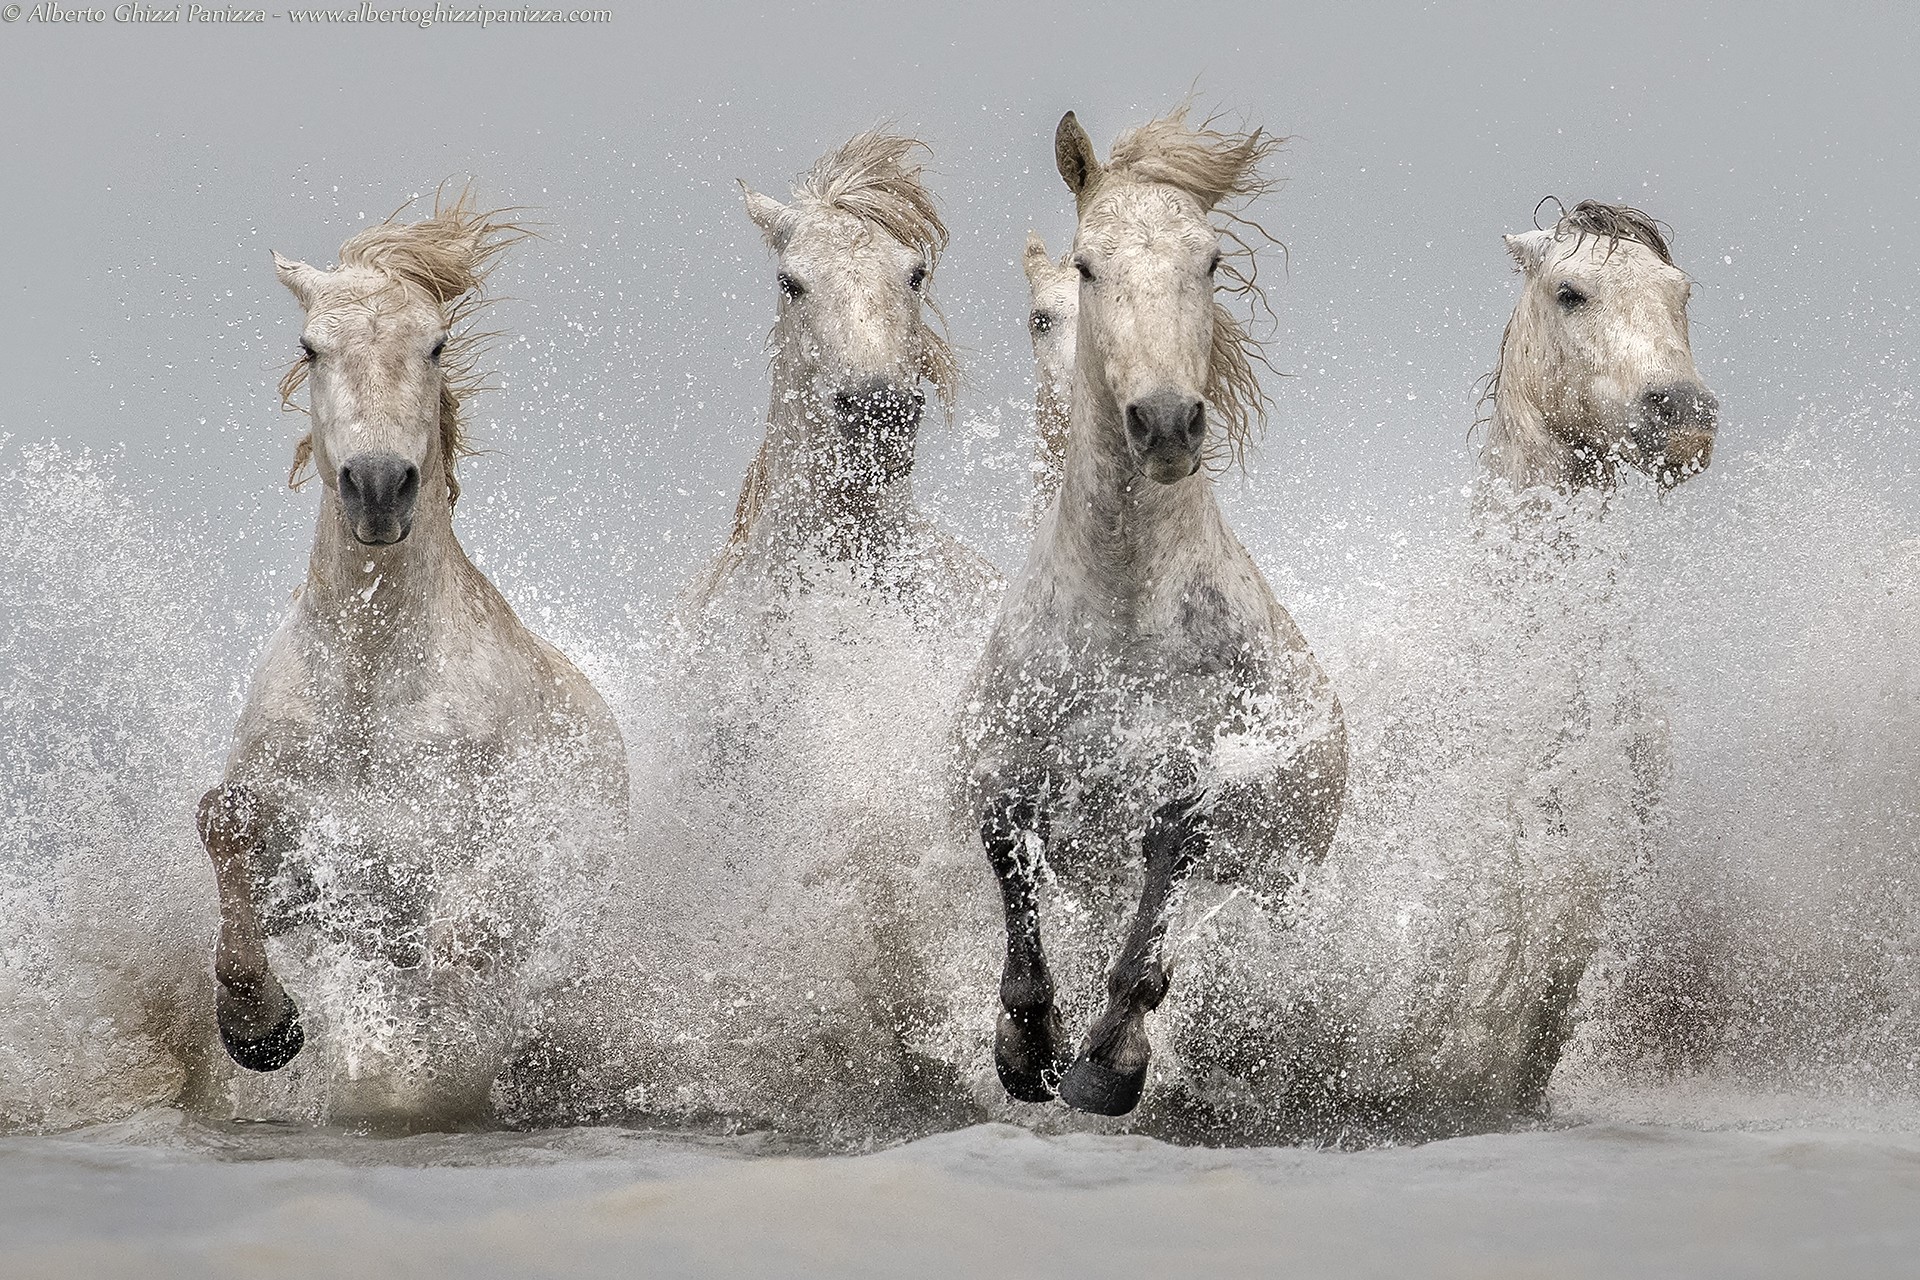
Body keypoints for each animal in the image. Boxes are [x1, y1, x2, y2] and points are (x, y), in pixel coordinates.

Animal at [197, 193, 628, 1125]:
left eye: (433, 344)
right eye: (310, 347)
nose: (377, 487)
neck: (370, 685)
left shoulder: (463, 862)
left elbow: (463, 940)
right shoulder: (311, 856)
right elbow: (225, 822)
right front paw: (260, 1028)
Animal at [955, 110, 1348, 1117]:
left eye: (1209, 261)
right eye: (1089, 266)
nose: (1166, 423)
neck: (1123, 617)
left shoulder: (1198, 786)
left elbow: (1163, 882)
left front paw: (1105, 1066)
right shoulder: (1004, 767)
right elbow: (1011, 869)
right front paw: (1026, 1051)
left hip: (1285, 884)